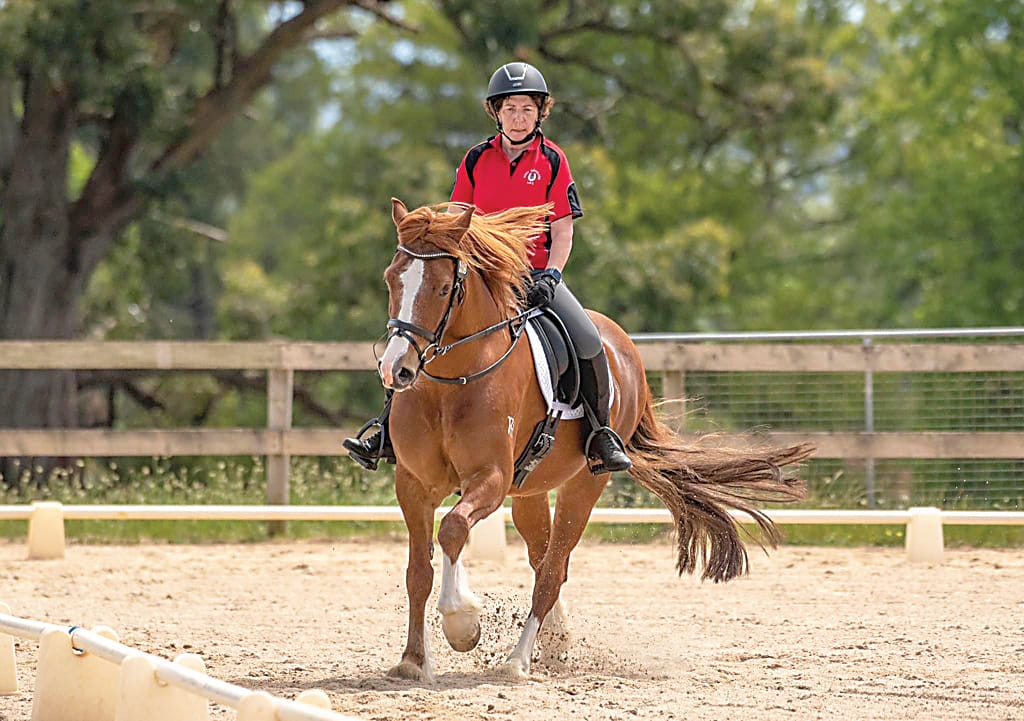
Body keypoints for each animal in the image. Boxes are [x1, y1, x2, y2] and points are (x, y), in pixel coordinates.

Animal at [376, 198, 813, 681]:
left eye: (440, 289)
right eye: (391, 279)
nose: (397, 370)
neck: (451, 382)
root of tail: (623, 344)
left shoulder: (489, 478)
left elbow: (453, 529)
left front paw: (462, 624)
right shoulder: (414, 485)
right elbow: (418, 571)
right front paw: (413, 660)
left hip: (585, 483)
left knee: (551, 571)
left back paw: (518, 661)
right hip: (529, 490)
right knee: (544, 558)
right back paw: (555, 640)